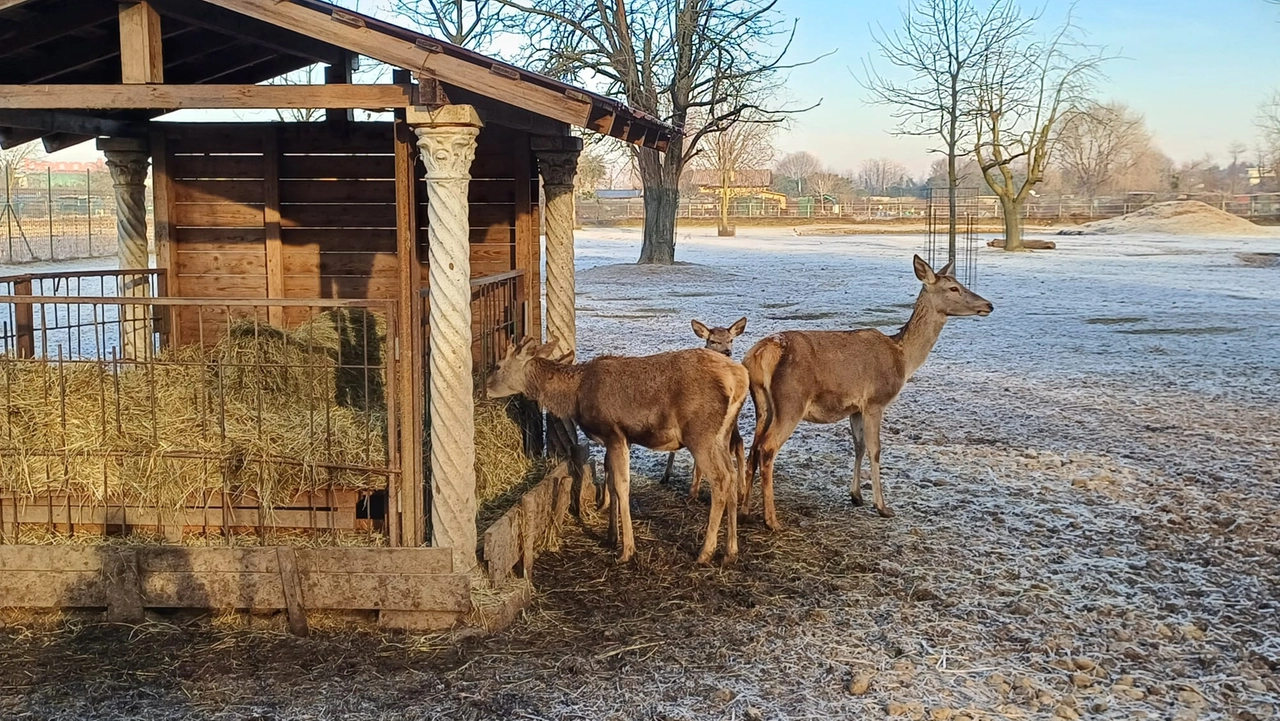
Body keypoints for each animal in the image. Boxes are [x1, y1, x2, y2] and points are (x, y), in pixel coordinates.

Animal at [660, 318, 747, 499]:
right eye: (712, 341)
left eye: (731, 339)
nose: (727, 352)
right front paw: (666, 476)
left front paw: (693, 490)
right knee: (737, 442)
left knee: (738, 443)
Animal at [747, 256, 993, 527]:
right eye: (953, 288)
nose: (989, 305)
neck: (903, 358)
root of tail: (761, 353)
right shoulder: (876, 401)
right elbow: (876, 450)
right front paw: (882, 506)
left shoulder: (856, 408)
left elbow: (859, 446)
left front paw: (856, 496)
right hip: (791, 401)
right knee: (767, 448)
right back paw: (771, 520)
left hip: (762, 405)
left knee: (752, 448)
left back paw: (744, 509)